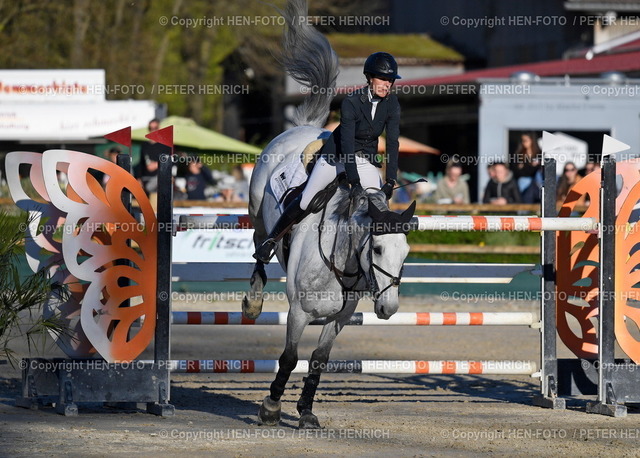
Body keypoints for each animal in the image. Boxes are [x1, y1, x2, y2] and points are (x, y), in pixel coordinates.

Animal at [241, 0, 416, 430]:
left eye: (405, 254)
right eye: (378, 250)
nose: (389, 309)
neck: (343, 261)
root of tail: (304, 128)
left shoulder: (339, 318)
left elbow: (318, 360)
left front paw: (305, 412)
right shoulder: (299, 313)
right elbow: (289, 357)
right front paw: (271, 408)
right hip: (257, 213)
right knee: (260, 247)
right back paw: (252, 301)